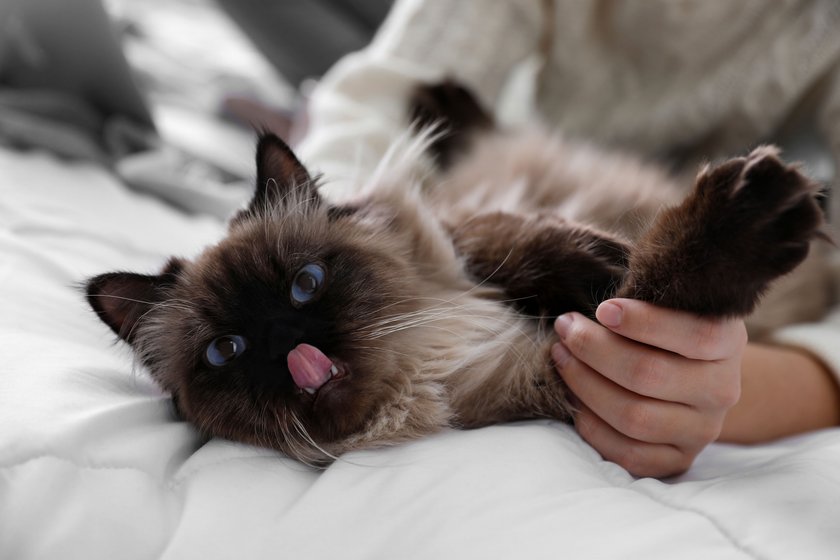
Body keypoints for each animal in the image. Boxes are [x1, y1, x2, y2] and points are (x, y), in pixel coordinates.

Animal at [87, 82, 828, 468]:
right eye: (226, 352)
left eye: (305, 284)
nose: (285, 343)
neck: (426, 361)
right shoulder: (548, 377)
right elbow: (654, 280)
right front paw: (747, 219)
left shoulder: (458, 225)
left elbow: (514, 245)